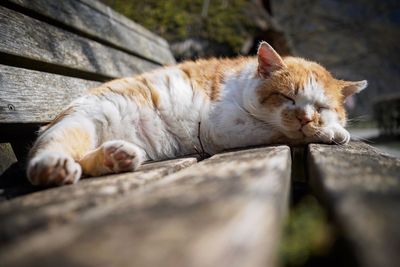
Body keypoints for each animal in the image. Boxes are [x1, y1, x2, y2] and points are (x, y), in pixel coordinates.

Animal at [26, 42, 368, 186]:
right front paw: (332, 132)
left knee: (86, 160)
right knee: (47, 152)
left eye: (321, 107)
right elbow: (279, 131)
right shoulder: (223, 127)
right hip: (80, 123)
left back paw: (117, 157)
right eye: (287, 97)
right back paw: (52, 169)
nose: (305, 119)